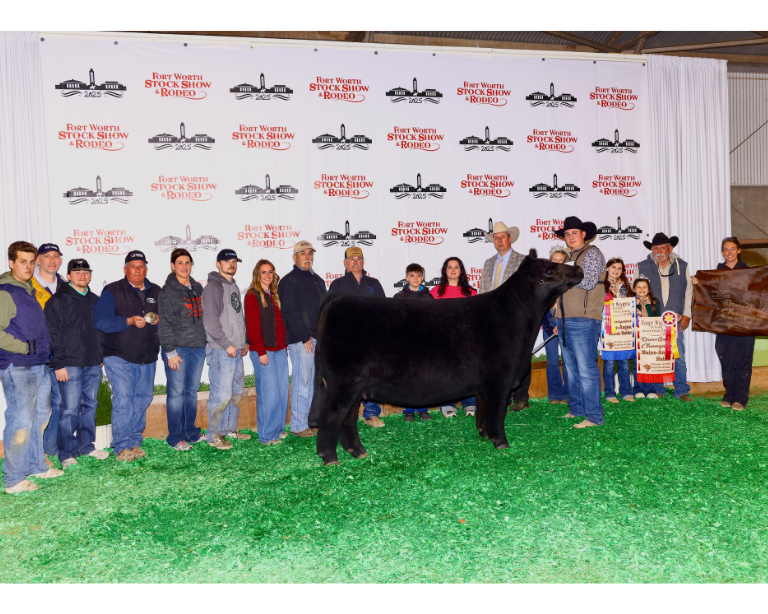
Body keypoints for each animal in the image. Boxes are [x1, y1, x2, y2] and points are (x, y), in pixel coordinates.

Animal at [308, 251, 584, 465]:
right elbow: (497, 412)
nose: (579, 268)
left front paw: (484, 434)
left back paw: (358, 452)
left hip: (354, 387)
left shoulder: (485, 383)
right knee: (332, 416)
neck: (518, 316)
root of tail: (339, 298)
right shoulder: (500, 378)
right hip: (342, 383)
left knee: (347, 419)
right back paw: (330, 458)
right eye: (549, 269)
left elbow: (483, 410)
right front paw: (501, 443)